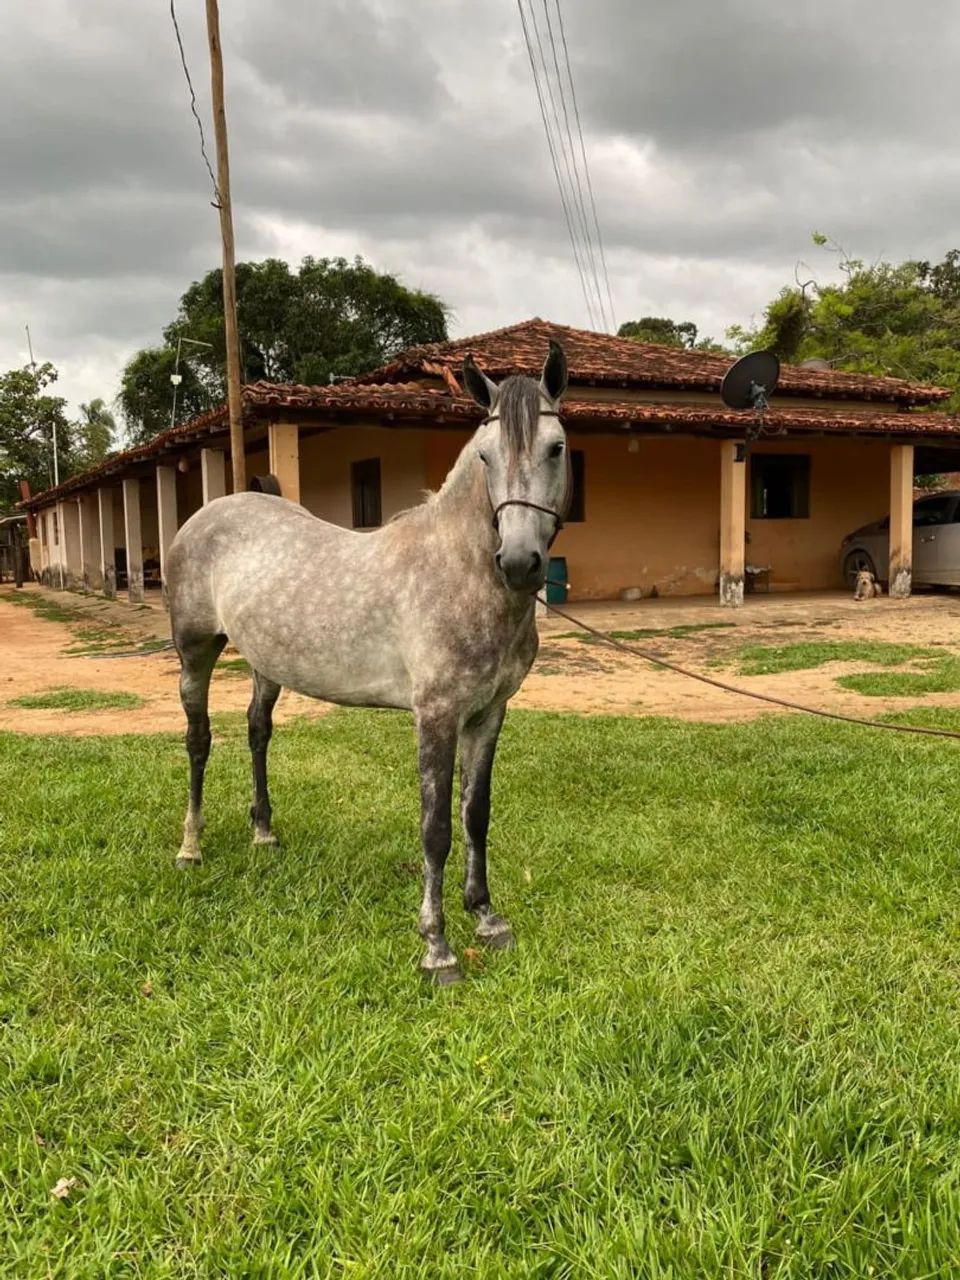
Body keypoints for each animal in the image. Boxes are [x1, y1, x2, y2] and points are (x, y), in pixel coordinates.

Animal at [165, 342, 570, 984]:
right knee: (199, 742)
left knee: (257, 732)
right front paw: (437, 948)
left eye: (555, 447)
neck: (457, 572)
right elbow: (435, 829)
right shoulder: (436, 717)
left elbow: (475, 814)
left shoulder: (488, 715)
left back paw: (264, 834)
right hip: (195, 656)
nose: (518, 562)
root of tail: (210, 512)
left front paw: (487, 918)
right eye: (485, 455)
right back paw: (190, 847)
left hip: (266, 666)